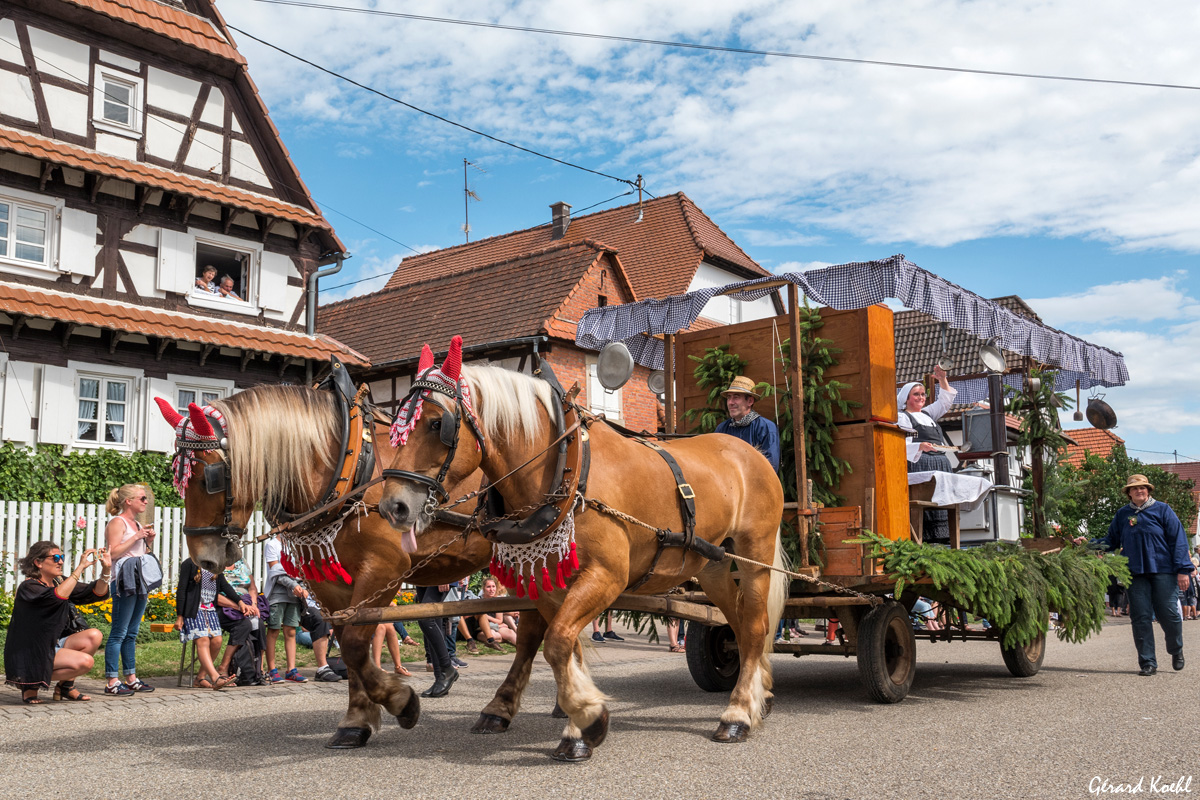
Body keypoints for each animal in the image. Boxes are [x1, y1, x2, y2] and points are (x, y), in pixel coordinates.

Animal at [152, 367, 554, 753]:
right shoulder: (329, 582)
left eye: (210, 478)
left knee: (538, 628)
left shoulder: (384, 570)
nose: (203, 558)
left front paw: (399, 701)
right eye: (178, 477)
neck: (348, 465)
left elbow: (358, 645)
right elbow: (346, 642)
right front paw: (356, 721)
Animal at [381, 335, 787, 762]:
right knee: (739, 624)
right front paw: (576, 718)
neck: (565, 466)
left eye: (436, 423)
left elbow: (558, 643)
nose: (393, 506)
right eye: (399, 425)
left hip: (754, 555)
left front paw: (586, 717)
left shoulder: (607, 576)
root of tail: (746, 451)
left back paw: (738, 712)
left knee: (756, 625)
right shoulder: (550, 581)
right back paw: (758, 694)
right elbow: (561, 645)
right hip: (713, 565)